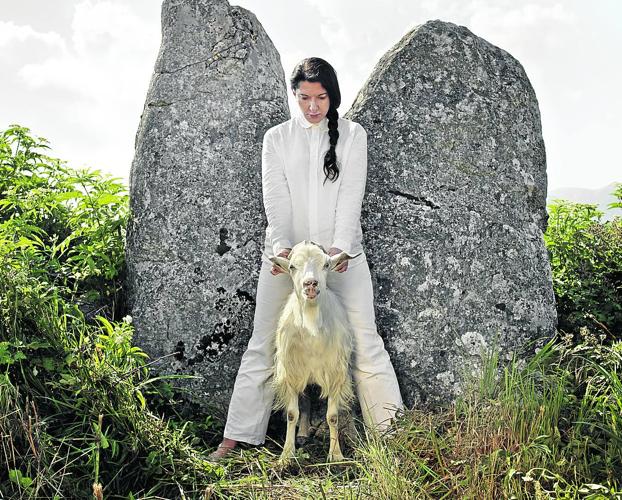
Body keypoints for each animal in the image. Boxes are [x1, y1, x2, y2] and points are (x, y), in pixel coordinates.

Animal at [270, 240, 358, 462]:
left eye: (326, 264)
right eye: (292, 266)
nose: (310, 284)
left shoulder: (335, 373)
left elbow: (333, 416)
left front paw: (336, 454)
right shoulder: (291, 372)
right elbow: (292, 413)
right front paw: (287, 454)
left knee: (347, 404)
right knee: (306, 401)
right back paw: (302, 434)